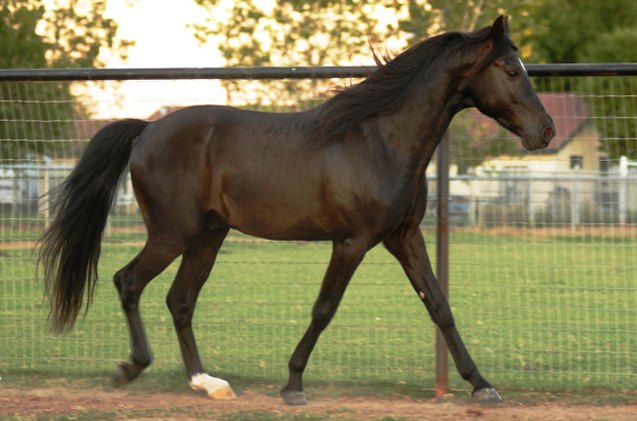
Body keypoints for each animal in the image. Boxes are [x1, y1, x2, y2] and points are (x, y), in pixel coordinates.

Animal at [38, 16, 552, 404]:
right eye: (511, 70)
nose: (545, 131)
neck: (379, 141)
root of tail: (145, 130)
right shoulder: (352, 242)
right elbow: (324, 308)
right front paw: (293, 384)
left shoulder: (403, 235)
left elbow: (439, 305)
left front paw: (482, 385)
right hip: (171, 234)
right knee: (129, 282)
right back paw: (131, 368)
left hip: (209, 236)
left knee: (180, 300)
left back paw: (208, 384)